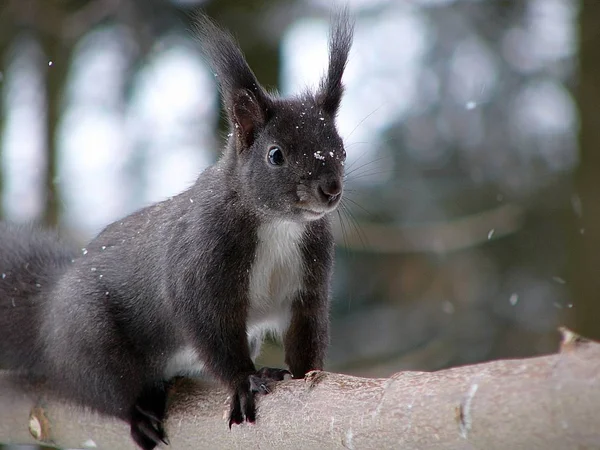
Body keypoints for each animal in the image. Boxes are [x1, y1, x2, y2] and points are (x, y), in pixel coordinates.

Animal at [0, 7, 352, 450]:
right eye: (276, 155)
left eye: (341, 149)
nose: (330, 189)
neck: (279, 225)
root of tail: (46, 312)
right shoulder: (202, 264)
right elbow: (211, 330)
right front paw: (244, 381)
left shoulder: (309, 279)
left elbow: (306, 328)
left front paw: (308, 376)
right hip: (91, 341)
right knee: (107, 389)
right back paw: (139, 414)